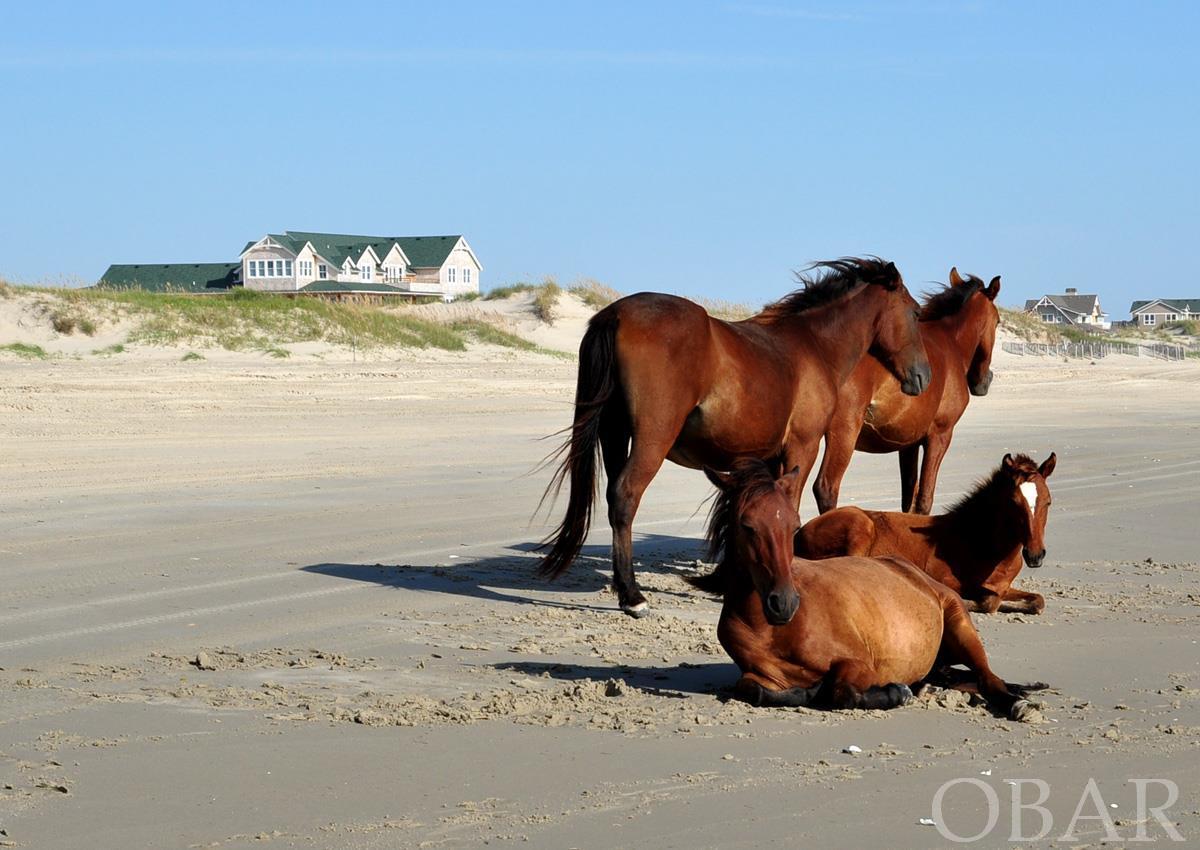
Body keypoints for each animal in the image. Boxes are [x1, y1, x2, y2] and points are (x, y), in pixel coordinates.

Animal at [540, 255, 931, 614]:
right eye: (914, 313)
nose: (923, 376)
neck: (814, 346)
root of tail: (616, 314)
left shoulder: (770, 457)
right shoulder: (801, 448)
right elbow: (788, 506)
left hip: (615, 434)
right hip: (652, 440)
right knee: (625, 497)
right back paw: (632, 596)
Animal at [691, 461, 1046, 720]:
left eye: (792, 526)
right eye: (747, 526)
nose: (784, 603)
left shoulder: (859, 664)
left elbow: (840, 691)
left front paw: (895, 692)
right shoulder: (755, 676)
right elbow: (752, 689)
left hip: (960, 627)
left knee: (988, 678)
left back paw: (1017, 703)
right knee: (957, 677)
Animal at [796, 453, 1060, 614]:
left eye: (1048, 502)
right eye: (1014, 503)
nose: (1035, 556)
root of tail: (798, 534)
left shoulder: (1004, 586)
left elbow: (1037, 600)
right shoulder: (943, 578)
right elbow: (986, 601)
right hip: (861, 525)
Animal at [806, 268, 1003, 513]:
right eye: (998, 322)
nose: (982, 382)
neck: (951, 342)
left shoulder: (908, 444)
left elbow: (909, 498)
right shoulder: (940, 436)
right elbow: (924, 499)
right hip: (843, 432)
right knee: (826, 488)